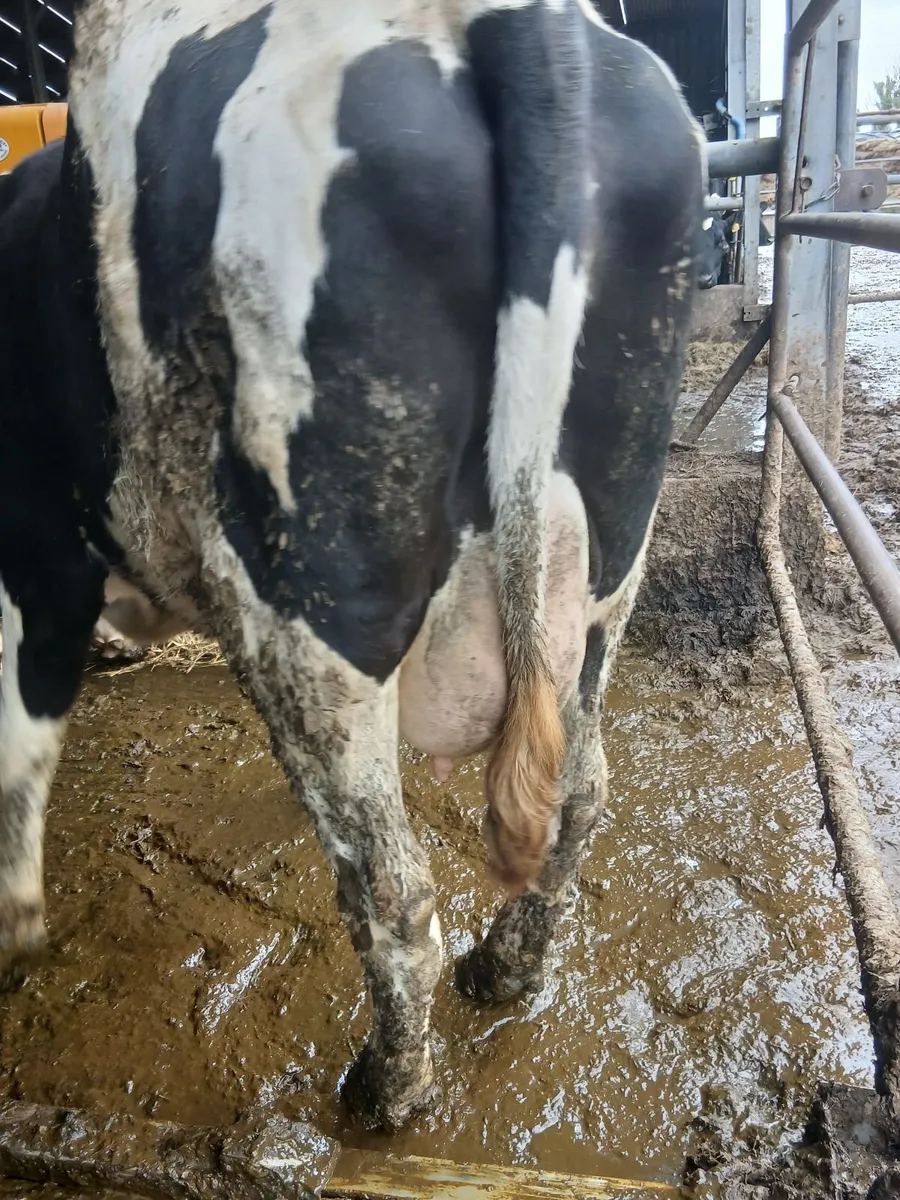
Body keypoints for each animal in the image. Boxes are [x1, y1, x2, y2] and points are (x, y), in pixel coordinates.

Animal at [0, 0, 704, 1131]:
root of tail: (512, 19)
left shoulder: (35, 555)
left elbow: (18, 747)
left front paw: (15, 929)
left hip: (310, 615)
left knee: (392, 887)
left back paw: (387, 1091)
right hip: (605, 568)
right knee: (580, 791)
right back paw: (507, 971)